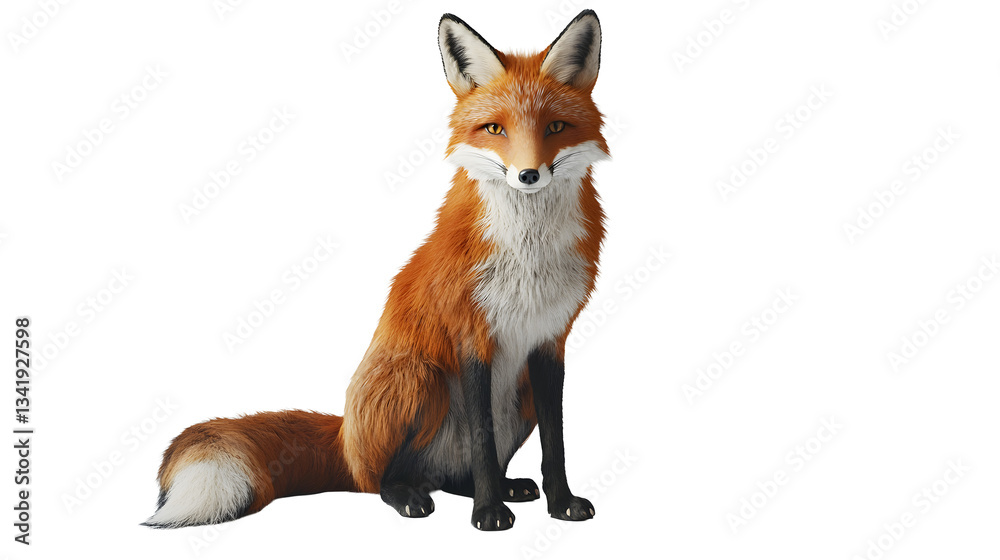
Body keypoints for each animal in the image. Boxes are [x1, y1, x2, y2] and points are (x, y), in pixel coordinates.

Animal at [145, 9, 609, 532]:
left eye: (555, 126)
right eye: (495, 129)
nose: (528, 175)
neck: (529, 256)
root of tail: (346, 439)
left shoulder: (550, 341)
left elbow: (556, 441)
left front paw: (560, 503)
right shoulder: (471, 337)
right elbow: (484, 440)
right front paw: (489, 513)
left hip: (518, 393)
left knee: (455, 476)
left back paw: (496, 486)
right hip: (419, 375)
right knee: (382, 481)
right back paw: (409, 495)